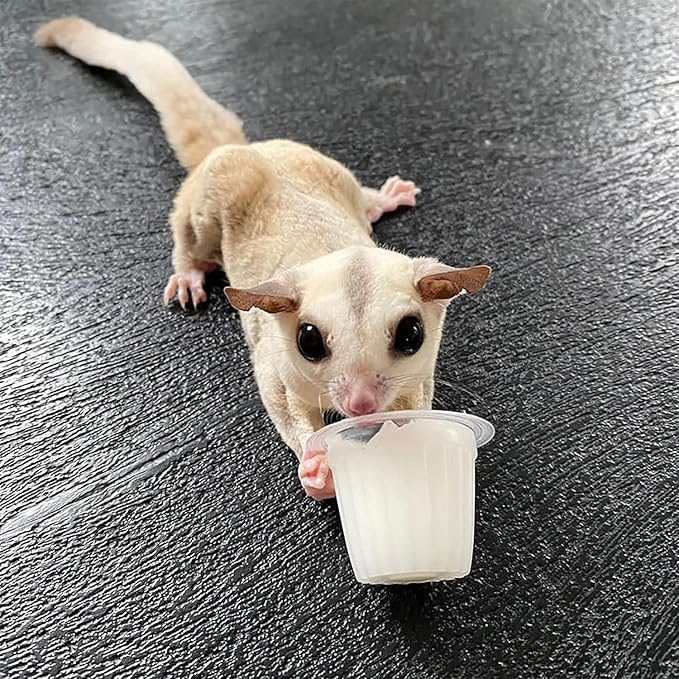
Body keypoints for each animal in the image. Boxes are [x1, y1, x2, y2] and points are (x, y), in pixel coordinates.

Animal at [35, 17, 491, 501]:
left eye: (411, 335)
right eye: (308, 341)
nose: (361, 404)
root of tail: (249, 148)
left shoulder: (418, 372)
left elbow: (415, 400)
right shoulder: (277, 363)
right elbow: (280, 402)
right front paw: (316, 467)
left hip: (329, 167)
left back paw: (382, 199)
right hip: (204, 203)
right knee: (190, 236)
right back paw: (190, 272)